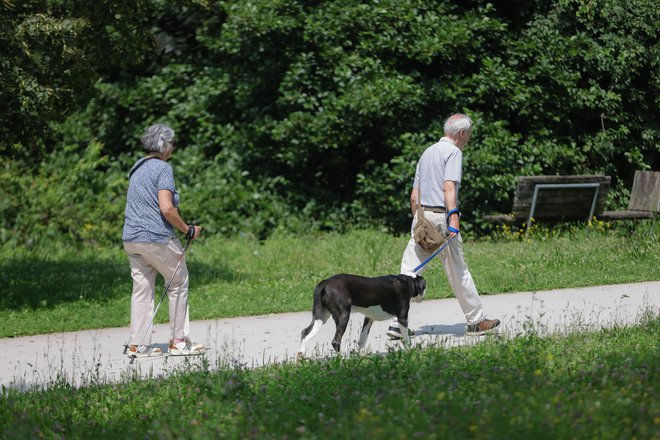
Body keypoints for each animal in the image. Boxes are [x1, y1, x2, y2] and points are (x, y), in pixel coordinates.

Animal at [296, 276, 426, 358]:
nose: (423, 295)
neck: (407, 282)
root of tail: (325, 282)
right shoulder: (403, 317)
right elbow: (406, 339)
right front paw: (411, 352)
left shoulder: (368, 319)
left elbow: (362, 339)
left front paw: (361, 358)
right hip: (343, 316)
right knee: (335, 341)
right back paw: (342, 360)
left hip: (322, 315)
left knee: (305, 332)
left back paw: (300, 355)